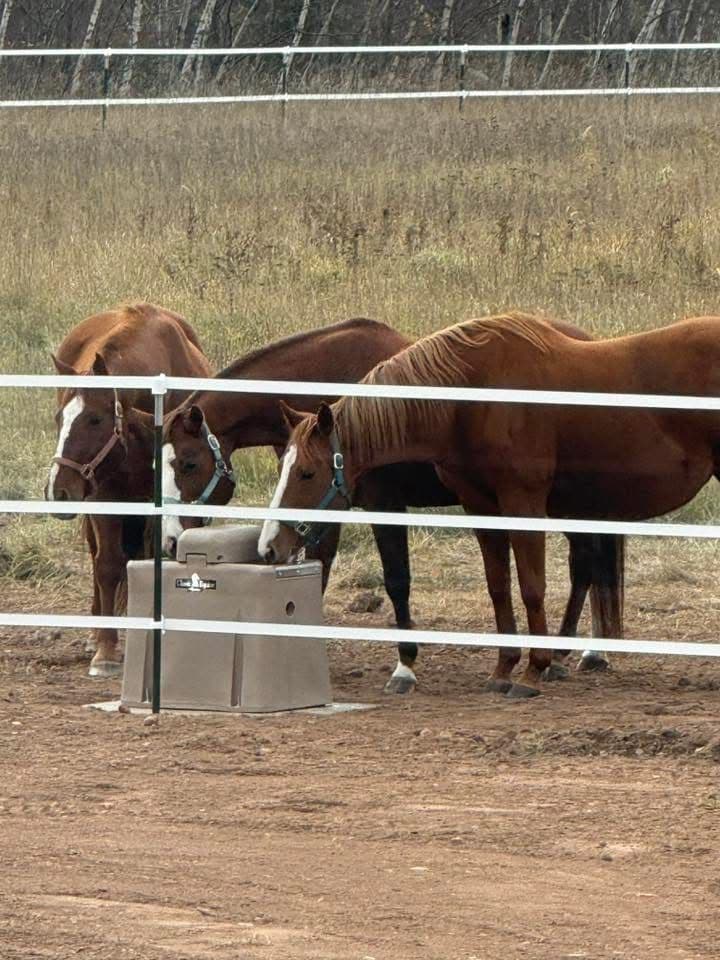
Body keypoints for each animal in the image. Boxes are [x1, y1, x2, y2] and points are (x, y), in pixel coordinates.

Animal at [45, 303, 212, 677]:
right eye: (59, 418)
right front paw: (105, 651)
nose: (58, 490)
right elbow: (107, 565)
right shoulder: (103, 497)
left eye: (94, 419)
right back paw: (96, 633)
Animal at [161, 317, 623, 694]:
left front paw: (405, 667)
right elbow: (318, 567)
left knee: (585, 562)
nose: (169, 540)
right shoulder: (326, 505)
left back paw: (566, 655)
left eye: (188, 462)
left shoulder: (381, 504)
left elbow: (397, 580)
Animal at [259, 311, 720, 698]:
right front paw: (504, 669)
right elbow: (498, 585)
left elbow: (532, 586)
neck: (472, 397)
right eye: (282, 464)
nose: (269, 547)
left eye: (307, 473)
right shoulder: (480, 505)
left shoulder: (523, 502)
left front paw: (533, 672)